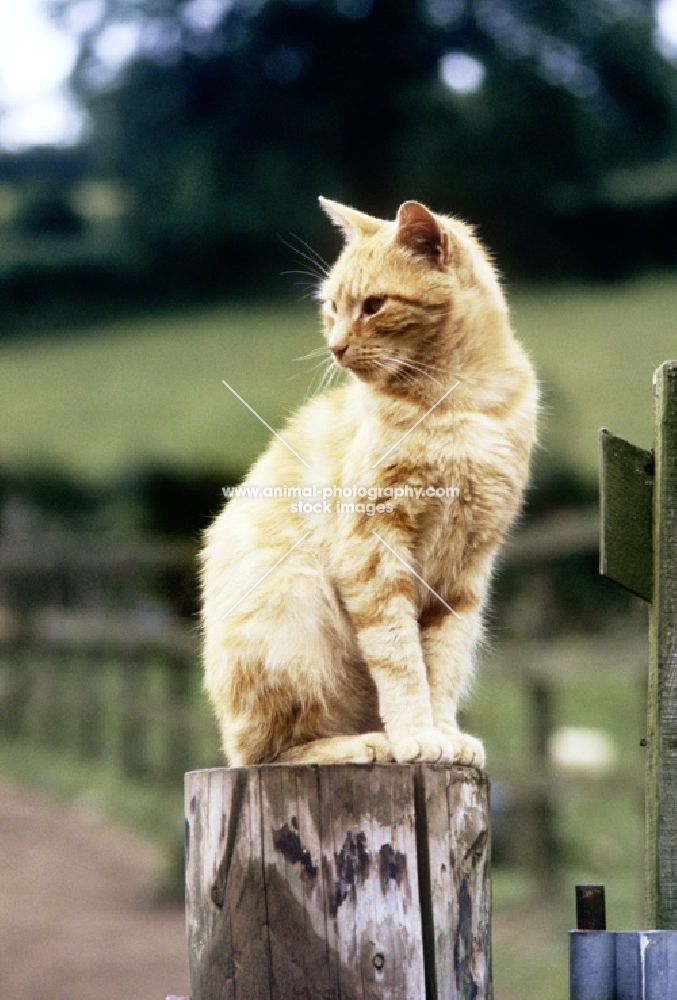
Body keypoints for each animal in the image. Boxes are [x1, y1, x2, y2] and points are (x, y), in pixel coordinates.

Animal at [198, 197, 536, 772]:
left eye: (375, 305)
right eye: (332, 306)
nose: (335, 347)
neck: (456, 401)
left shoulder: (468, 568)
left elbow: (442, 663)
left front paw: (444, 734)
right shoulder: (375, 551)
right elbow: (401, 660)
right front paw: (415, 735)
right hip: (293, 608)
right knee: (271, 751)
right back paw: (365, 743)